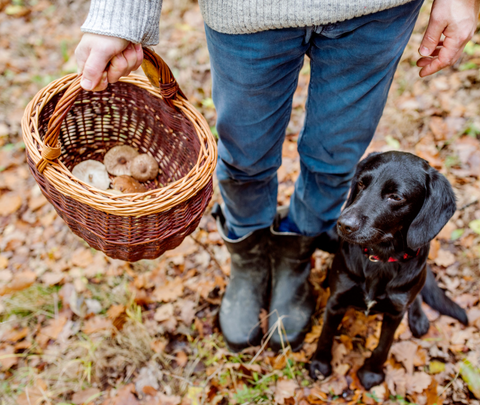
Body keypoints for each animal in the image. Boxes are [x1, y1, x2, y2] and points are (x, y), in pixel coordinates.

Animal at [310, 151, 466, 388]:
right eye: (361, 183)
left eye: (396, 197)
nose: (343, 224)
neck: (380, 259)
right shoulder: (336, 300)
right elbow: (326, 334)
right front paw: (319, 365)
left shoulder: (395, 313)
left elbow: (384, 345)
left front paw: (371, 373)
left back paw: (419, 317)